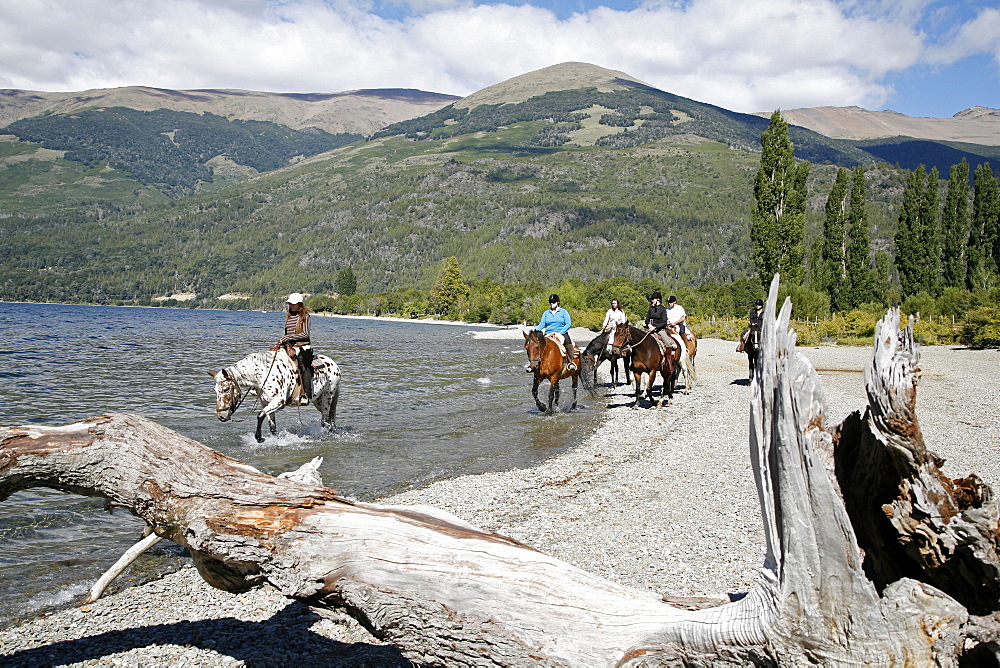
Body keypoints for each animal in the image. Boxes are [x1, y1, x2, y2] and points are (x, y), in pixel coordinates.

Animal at [209, 350, 342, 444]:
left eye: (225, 389)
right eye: (215, 390)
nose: (221, 416)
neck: (264, 374)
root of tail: (334, 364)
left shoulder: (278, 402)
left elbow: (260, 415)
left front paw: (259, 438)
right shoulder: (266, 403)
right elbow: (272, 425)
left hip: (326, 399)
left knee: (325, 421)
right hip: (318, 401)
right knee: (329, 420)